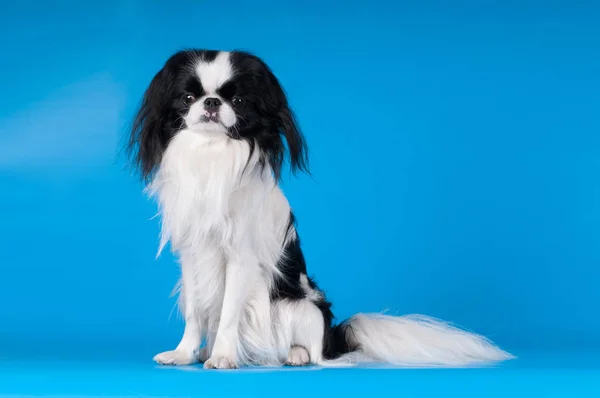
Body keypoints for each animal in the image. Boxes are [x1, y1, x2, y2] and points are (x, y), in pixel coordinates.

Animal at [124, 49, 512, 370]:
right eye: (188, 98)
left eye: (238, 100)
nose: (211, 102)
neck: (211, 152)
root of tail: (332, 336)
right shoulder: (193, 253)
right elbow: (195, 311)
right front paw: (185, 353)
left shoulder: (241, 257)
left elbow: (230, 312)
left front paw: (222, 356)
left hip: (298, 306)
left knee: (312, 352)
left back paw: (295, 355)